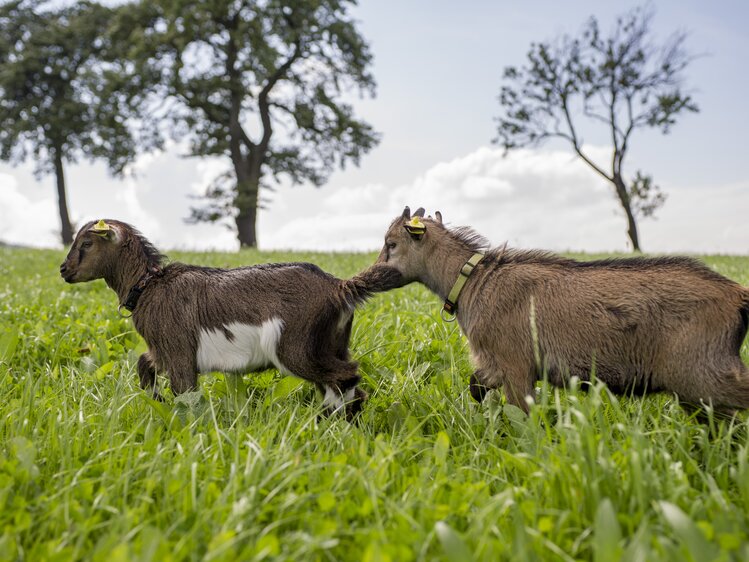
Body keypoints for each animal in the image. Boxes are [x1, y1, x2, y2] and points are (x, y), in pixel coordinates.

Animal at [60, 219, 404, 416]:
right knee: (341, 383)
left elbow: (186, 394)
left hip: (296, 347)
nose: (64, 270)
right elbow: (144, 364)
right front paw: (155, 400)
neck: (148, 286)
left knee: (346, 376)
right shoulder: (161, 349)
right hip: (332, 343)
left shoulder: (179, 351)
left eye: (87, 243)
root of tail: (339, 287)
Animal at [376, 206, 748, 412]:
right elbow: (476, 385)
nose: (374, 273)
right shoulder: (494, 364)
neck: (474, 279)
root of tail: (737, 295)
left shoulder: (516, 363)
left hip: (702, 373)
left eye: (391, 243)